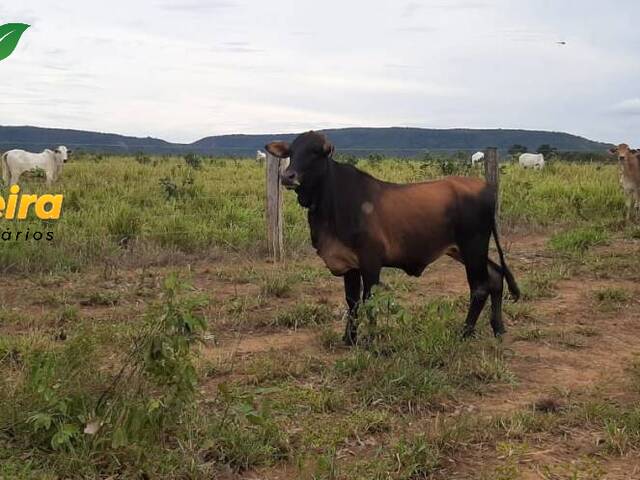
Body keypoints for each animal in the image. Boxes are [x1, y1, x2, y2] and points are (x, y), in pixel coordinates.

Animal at [264, 130, 520, 344]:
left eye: (315, 152)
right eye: (291, 152)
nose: (287, 176)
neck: (330, 203)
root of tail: (487, 188)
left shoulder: (370, 262)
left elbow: (369, 301)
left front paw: (371, 339)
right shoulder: (349, 264)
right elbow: (352, 302)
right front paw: (349, 339)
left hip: (473, 245)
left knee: (480, 287)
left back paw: (465, 333)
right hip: (463, 250)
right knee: (496, 275)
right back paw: (498, 329)